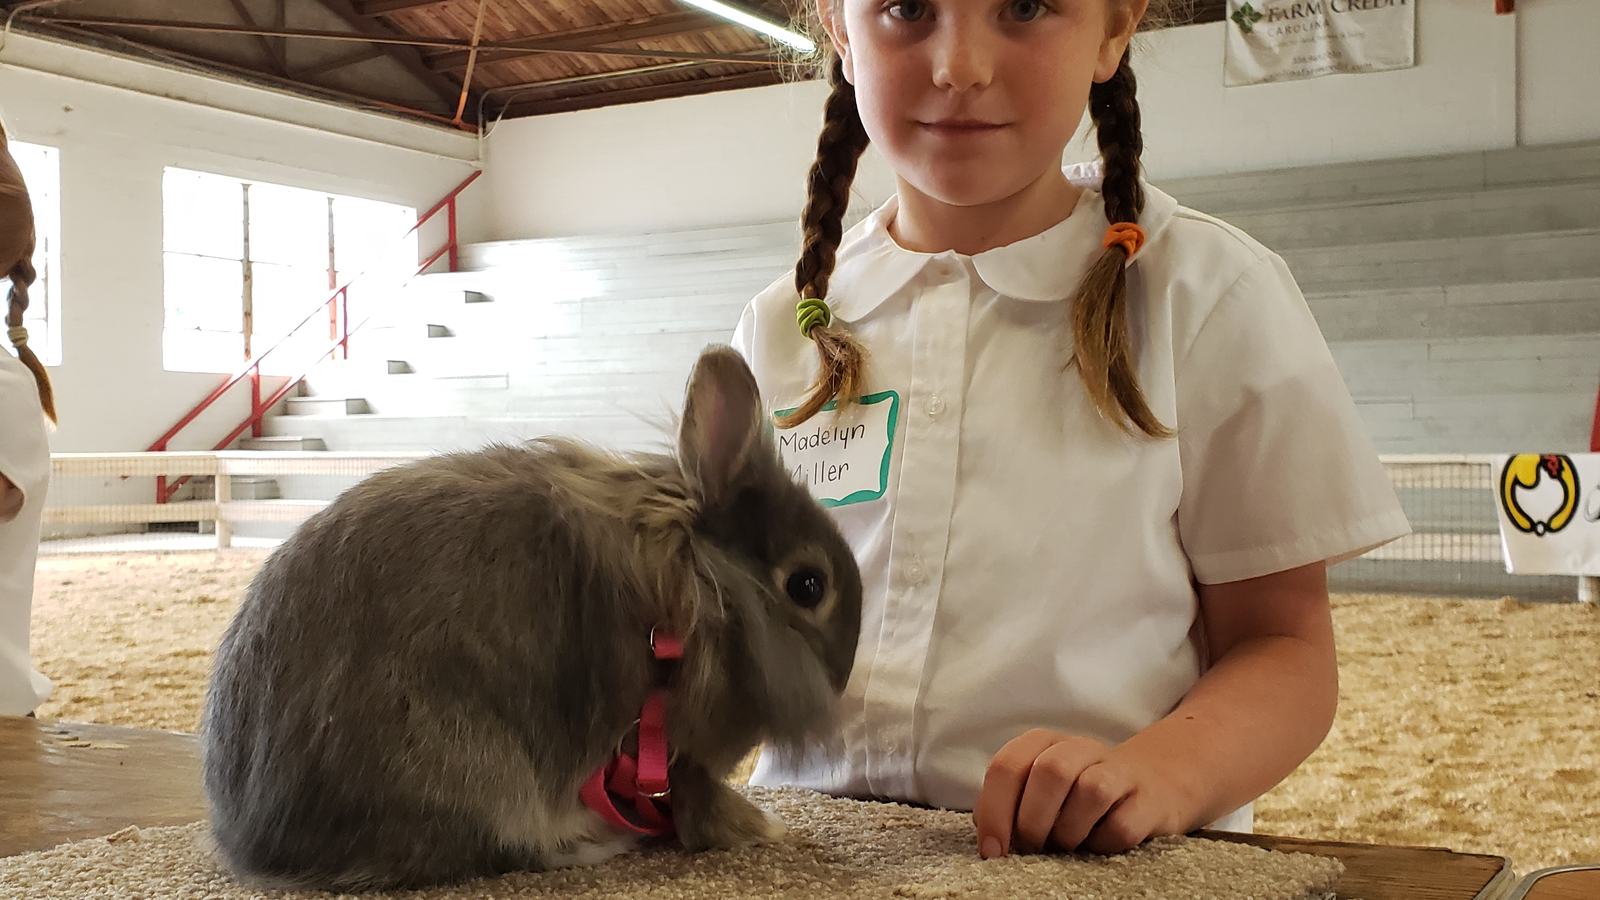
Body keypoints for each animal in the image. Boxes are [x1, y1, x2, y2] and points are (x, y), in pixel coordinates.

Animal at [200, 345, 863, 892]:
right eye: (808, 586)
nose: (842, 678)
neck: (709, 593)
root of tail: (262, 845)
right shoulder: (678, 759)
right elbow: (704, 809)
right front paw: (768, 829)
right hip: (476, 767)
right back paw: (594, 843)